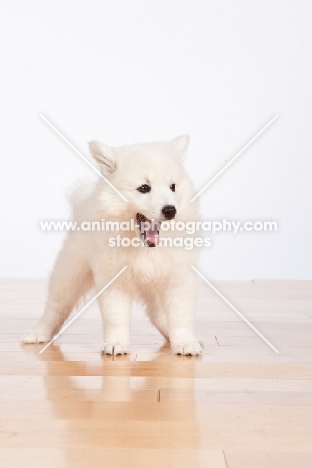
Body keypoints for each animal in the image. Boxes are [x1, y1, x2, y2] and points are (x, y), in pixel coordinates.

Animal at [22, 135, 202, 354]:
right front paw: (116, 343)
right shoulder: (113, 279)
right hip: (70, 272)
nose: (170, 210)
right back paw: (38, 333)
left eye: (173, 187)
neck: (144, 249)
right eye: (144, 188)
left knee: (156, 313)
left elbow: (181, 316)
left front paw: (185, 343)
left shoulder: (179, 278)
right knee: (55, 306)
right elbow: (116, 316)